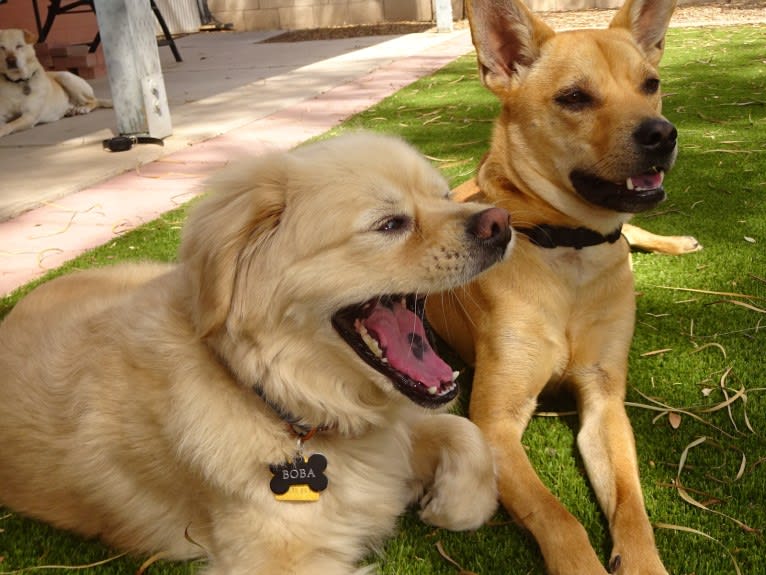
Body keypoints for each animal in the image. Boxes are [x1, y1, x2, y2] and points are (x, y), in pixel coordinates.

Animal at [1, 132, 516, 575]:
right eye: (389, 224)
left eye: (445, 196)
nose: (500, 222)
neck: (278, 399)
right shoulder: (274, 561)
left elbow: (466, 431)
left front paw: (451, 505)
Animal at [426, 0, 696, 572]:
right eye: (574, 97)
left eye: (651, 83)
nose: (662, 133)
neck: (571, 251)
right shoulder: (494, 423)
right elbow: (558, 517)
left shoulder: (604, 401)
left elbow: (632, 506)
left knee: (637, 234)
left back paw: (677, 242)